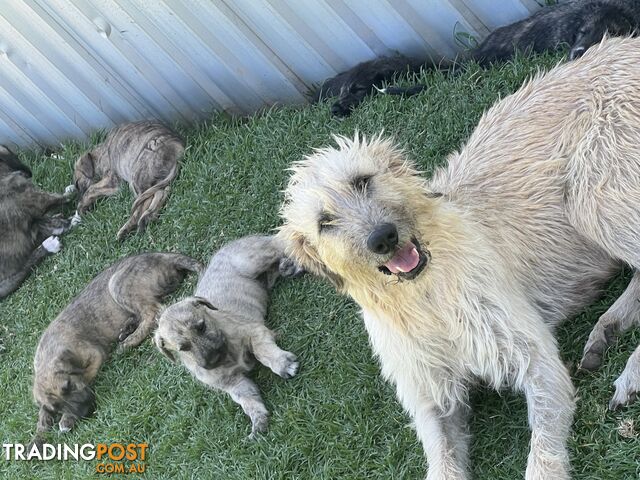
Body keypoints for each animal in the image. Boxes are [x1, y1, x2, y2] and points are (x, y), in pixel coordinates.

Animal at [31, 253, 201, 444]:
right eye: (57, 407)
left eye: (69, 386)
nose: (86, 411)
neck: (47, 354)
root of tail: (163, 256)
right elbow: (43, 413)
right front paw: (38, 435)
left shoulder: (94, 356)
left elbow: (86, 377)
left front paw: (66, 420)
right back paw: (127, 329)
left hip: (116, 284)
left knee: (153, 312)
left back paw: (128, 341)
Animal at [157, 236, 302, 438]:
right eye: (183, 348)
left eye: (201, 326)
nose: (213, 359)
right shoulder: (233, 383)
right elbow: (248, 400)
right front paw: (258, 420)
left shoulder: (254, 331)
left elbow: (263, 351)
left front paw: (282, 364)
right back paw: (287, 266)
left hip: (252, 261)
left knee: (280, 243)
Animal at [282, 38, 640, 480]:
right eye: (324, 222)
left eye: (362, 180)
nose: (383, 237)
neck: (426, 293)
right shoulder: (431, 395)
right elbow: (442, 458)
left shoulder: (534, 358)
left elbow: (541, 453)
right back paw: (608, 328)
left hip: (594, 192)